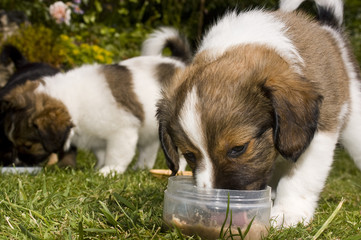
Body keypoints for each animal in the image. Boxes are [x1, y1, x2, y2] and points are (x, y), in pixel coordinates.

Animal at [0, 27, 191, 174]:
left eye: (28, 146)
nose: (16, 164)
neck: (73, 102)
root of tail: (180, 62)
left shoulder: (122, 131)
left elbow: (117, 154)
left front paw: (109, 171)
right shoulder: (97, 137)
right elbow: (101, 153)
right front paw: (99, 167)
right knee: (149, 148)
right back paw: (141, 167)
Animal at [155, 0, 360, 227]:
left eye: (238, 148)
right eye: (189, 155)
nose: (215, 209)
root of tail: (329, 27)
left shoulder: (321, 132)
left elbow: (299, 178)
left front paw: (289, 212)